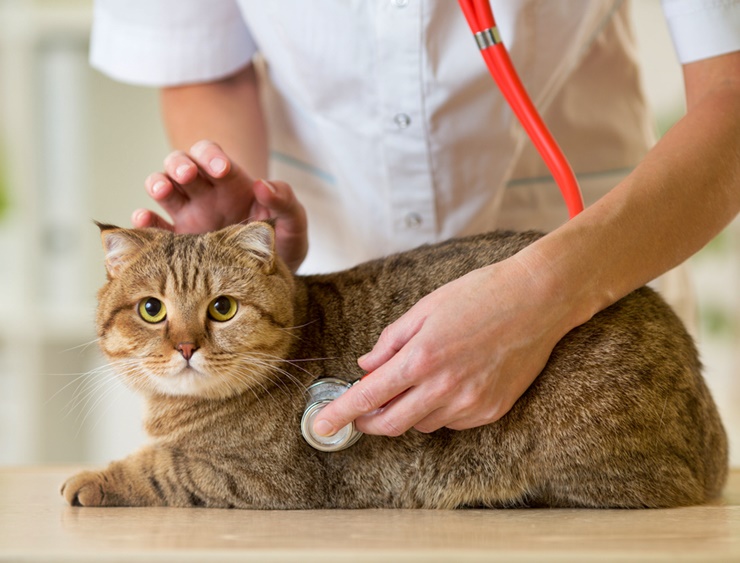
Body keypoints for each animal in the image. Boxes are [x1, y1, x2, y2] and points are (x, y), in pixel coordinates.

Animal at [62, 221, 728, 512]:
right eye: (152, 310)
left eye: (221, 308)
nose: (184, 346)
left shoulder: (258, 478)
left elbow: (157, 469)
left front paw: (90, 478)